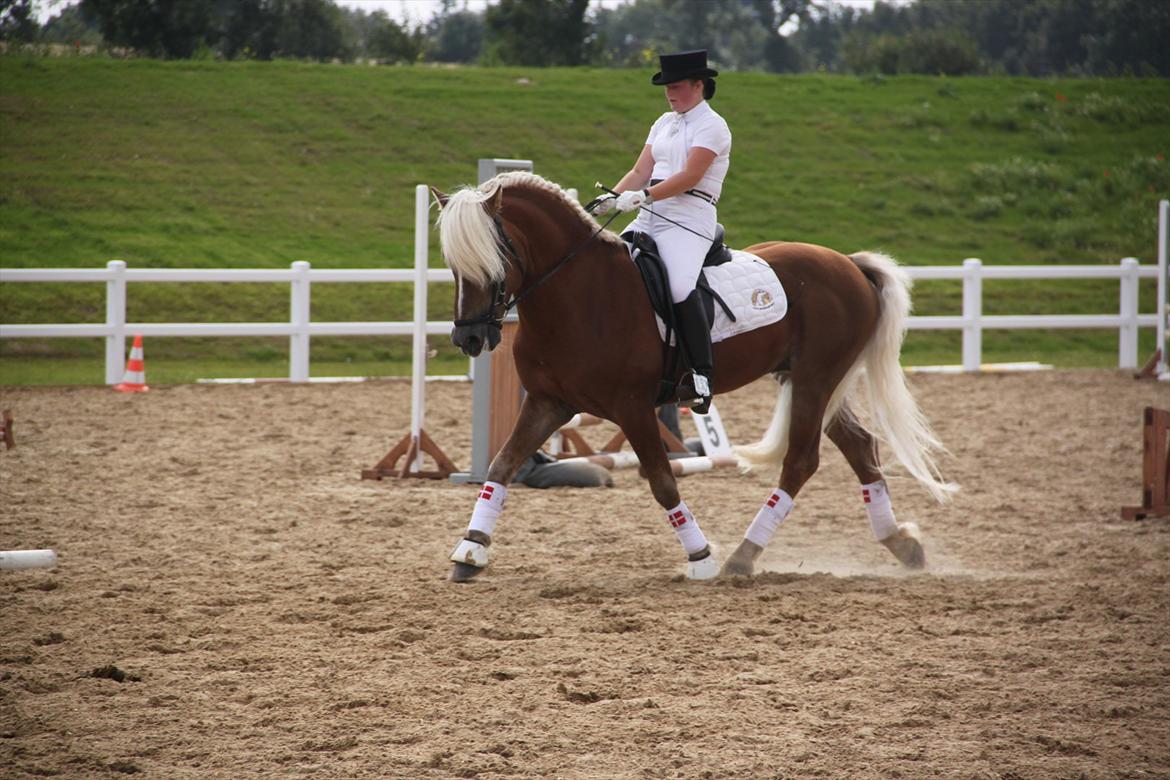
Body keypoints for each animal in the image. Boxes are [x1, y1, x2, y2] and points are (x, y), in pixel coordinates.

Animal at [430, 174, 950, 582]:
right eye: (453, 264)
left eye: (495, 255)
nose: (469, 337)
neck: (579, 295)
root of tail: (849, 264)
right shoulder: (547, 402)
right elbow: (501, 465)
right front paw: (470, 551)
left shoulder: (633, 408)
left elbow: (662, 481)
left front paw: (701, 558)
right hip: (806, 380)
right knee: (861, 447)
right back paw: (903, 546)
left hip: (815, 380)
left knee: (801, 461)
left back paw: (742, 557)